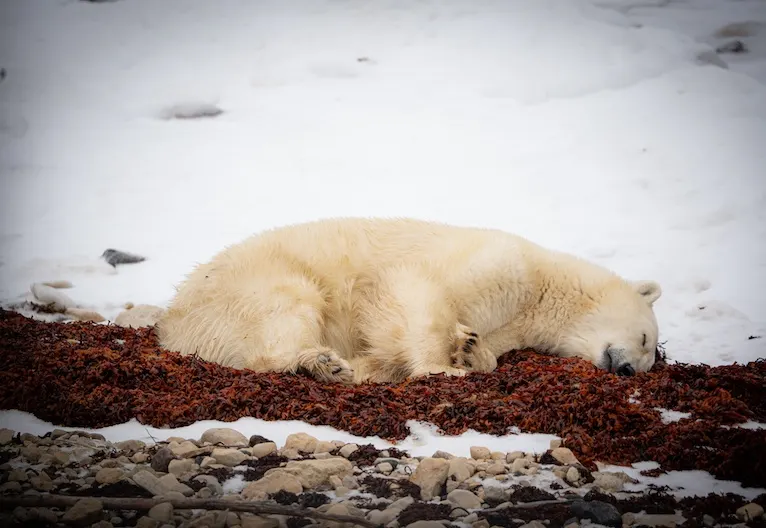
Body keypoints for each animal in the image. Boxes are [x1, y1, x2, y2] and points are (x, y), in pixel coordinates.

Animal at [155, 217, 662, 384]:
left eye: (647, 357)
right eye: (645, 339)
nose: (626, 369)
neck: (544, 288)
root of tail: (172, 324)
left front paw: (472, 349)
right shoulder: (501, 265)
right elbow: (413, 291)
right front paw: (444, 367)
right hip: (249, 285)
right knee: (285, 312)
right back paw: (320, 362)